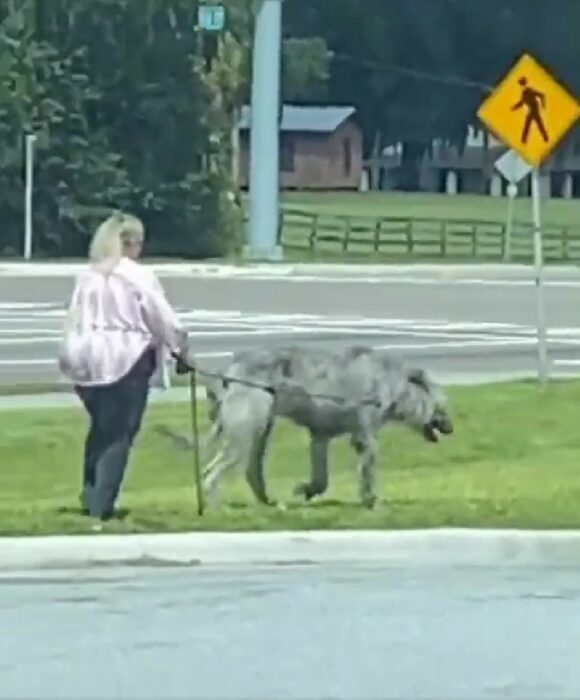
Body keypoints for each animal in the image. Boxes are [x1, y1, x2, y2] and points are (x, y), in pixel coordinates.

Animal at [162, 344, 454, 508]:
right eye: (442, 405)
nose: (451, 428)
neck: (395, 386)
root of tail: (230, 369)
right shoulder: (365, 432)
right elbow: (368, 466)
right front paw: (372, 499)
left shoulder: (320, 434)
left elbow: (322, 474)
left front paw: (307, 489)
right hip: (247, 424)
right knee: (213, 471)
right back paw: (216, 506)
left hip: (262, 425)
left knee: (251, 468)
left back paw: (268, 502)